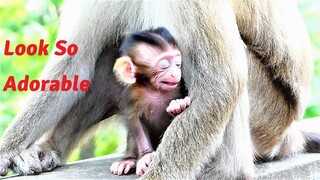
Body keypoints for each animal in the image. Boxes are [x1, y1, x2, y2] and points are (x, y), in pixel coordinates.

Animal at [110, 27, 190, 176]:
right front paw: (146, 156)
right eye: (165, 65)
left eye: (178, 64)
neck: (155, 90)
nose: (175, 73)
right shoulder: (131, 95)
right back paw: (128, 160)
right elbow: (135, 123)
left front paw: (178, 105)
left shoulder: (179, 86)